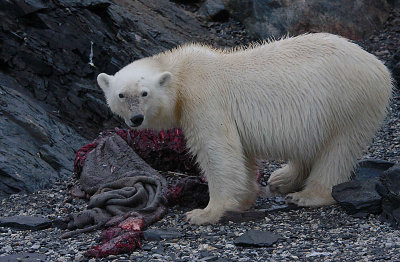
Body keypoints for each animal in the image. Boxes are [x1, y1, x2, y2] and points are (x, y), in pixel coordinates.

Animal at [97, 32, 394, 225]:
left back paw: (307, 195)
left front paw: (204, 213)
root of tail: (379, 66)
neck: (181, 72)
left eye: (144, 93)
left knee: (339, 148)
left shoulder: (204, 98)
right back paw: (282, 179)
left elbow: (217, 151)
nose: (135, 119)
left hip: (349, 101)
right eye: (121, 95)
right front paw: (244, 199)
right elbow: (242, 155)